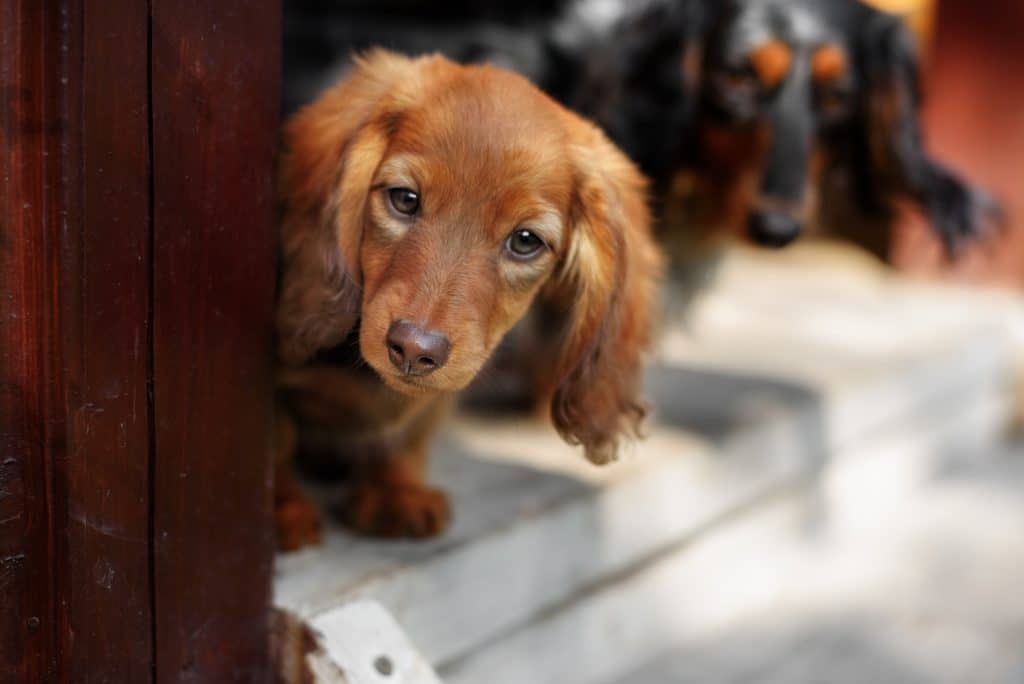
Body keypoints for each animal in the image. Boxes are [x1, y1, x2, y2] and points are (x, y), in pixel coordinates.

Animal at [274, 50, 655, 548]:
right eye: (404, 199)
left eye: (526, 241)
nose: (414, 349)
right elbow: (275, 439)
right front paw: (282, 508)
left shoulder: (438, 397)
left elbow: (410, 433)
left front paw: (394, 490)